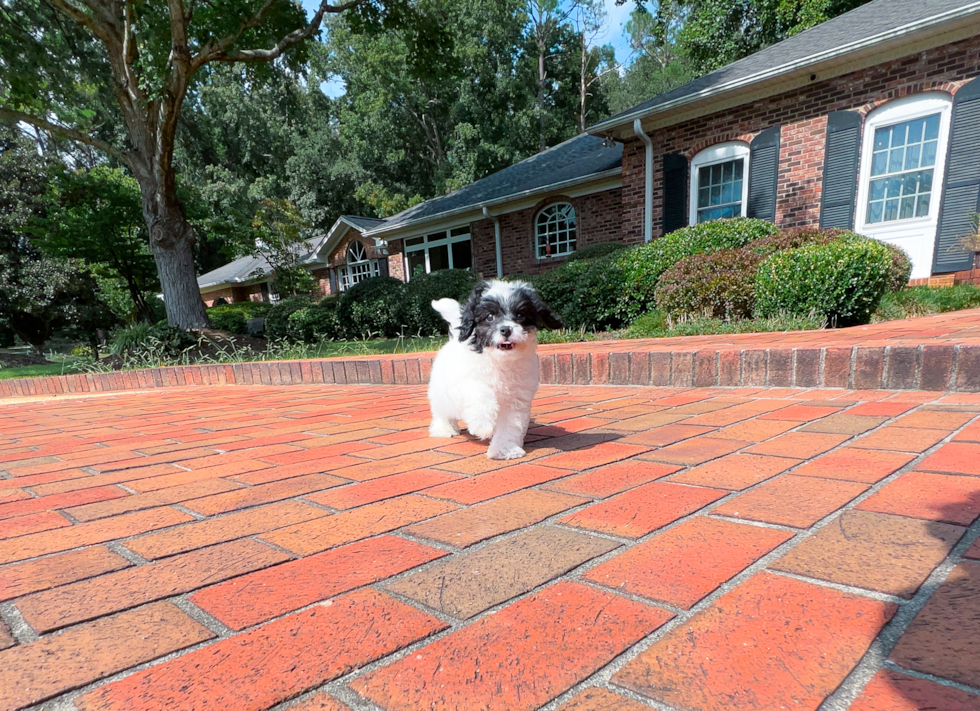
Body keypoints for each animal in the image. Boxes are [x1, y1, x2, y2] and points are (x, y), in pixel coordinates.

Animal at [426, 280, 560, 458]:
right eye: (490, 316)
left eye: (520, 315)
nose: (506, 329)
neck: (500, 360)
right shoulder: (464, 384)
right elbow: (480, 392)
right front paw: (482, 425)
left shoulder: (517, 398)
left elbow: (510, 424)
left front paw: (505, 449)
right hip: (441, 391)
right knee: (441, 410)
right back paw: (444, 428)